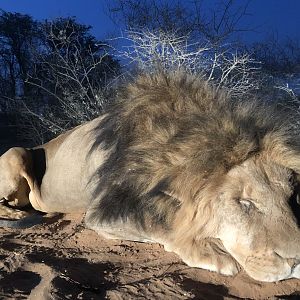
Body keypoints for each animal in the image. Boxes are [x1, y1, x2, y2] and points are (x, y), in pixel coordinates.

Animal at [0, 71, 300, 282]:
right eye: (244, 203)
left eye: (292, 198)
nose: (296, 262)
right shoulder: (101, 213)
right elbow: (157, 224)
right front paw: (211, 252)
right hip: (16, 153)